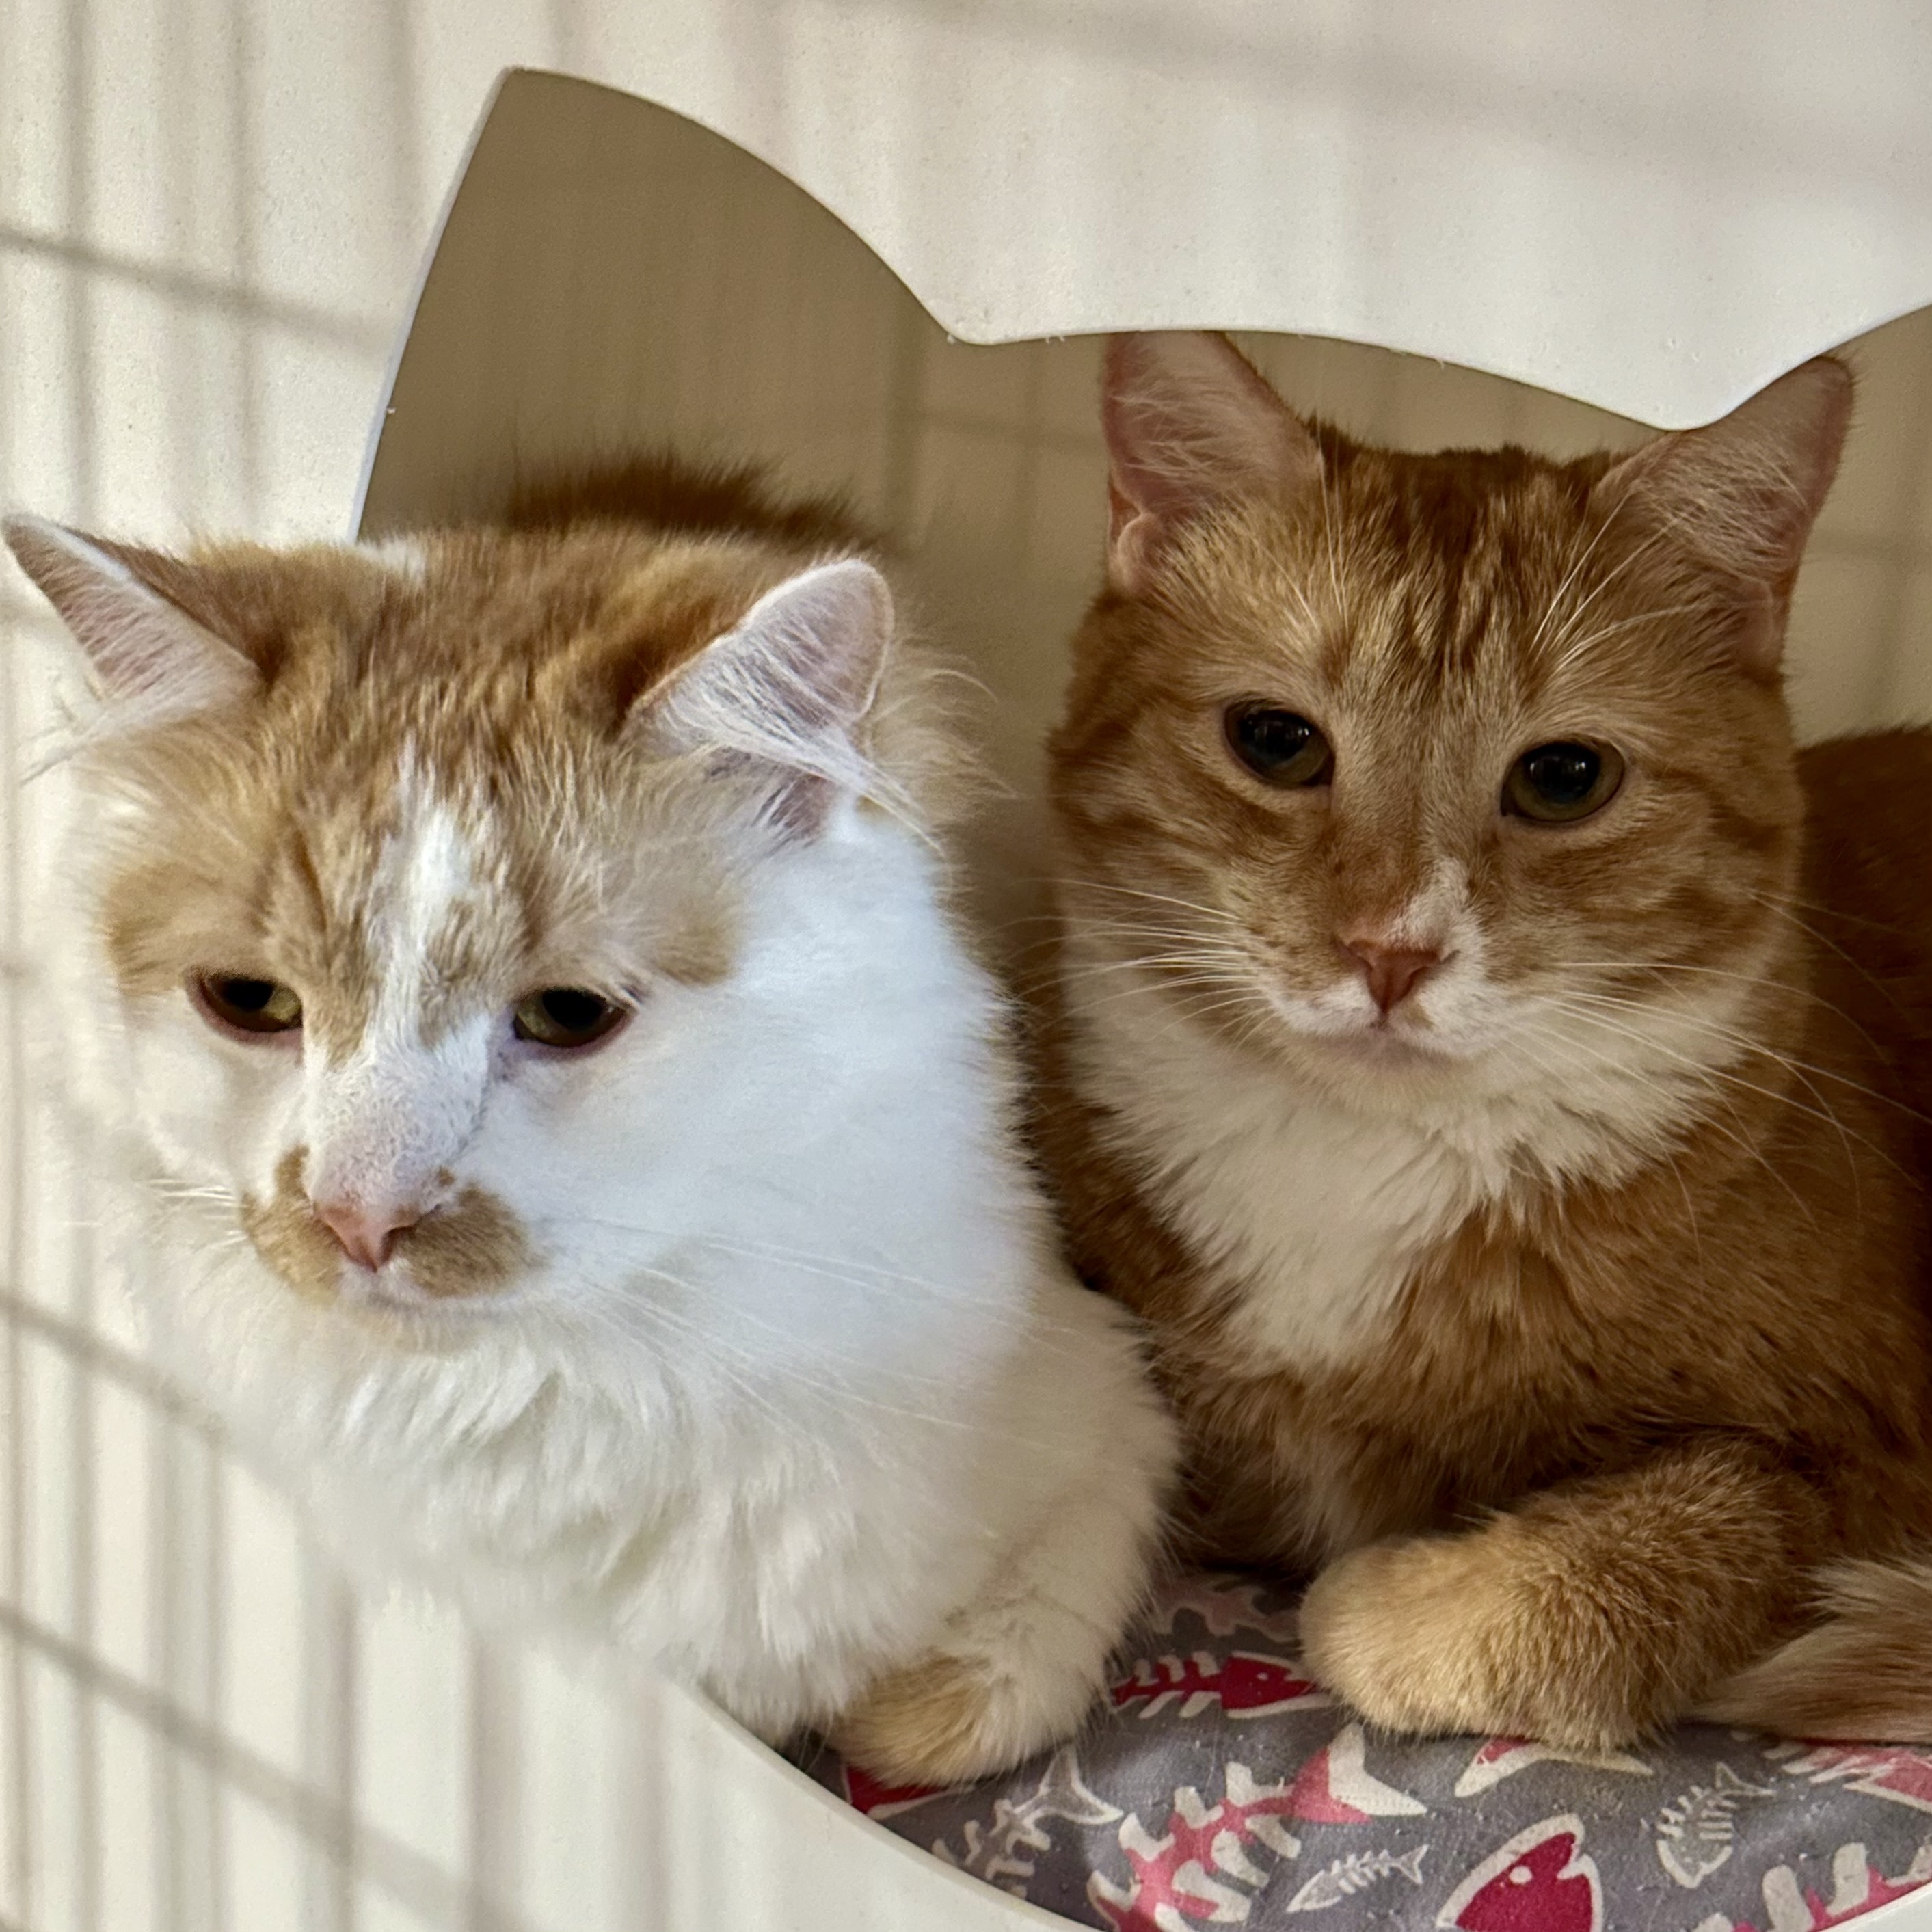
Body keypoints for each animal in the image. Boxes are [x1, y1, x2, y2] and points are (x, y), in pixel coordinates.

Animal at [8, 464, 1175, 1777]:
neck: (571, 1389)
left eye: (567, 1015)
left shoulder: (1106, 1400)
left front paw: (882, 1712)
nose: (359, 1217)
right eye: (251, 1002)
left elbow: (974, 1697)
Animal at [1035, 332, 1932, 1754]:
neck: (1363, 1167)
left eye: (1564, 779)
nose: (1391, 951)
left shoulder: (1864, 1475)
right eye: (1274, 742)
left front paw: (1390, 1605)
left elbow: (1661, 1533)